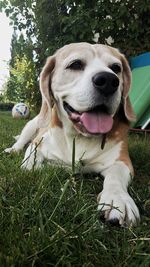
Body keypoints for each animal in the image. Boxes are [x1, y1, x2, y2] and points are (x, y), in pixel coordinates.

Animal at [5, 43, 140, 227]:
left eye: (116, 68)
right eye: (76, 64)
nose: (109, 81)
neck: (79, 136)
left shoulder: (122, 162)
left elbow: (115, 177)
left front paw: (117, 200)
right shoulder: (37, 142)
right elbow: (31, 158)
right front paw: (31, 166)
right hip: (32, 125)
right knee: (21, 142)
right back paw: (13, 149)